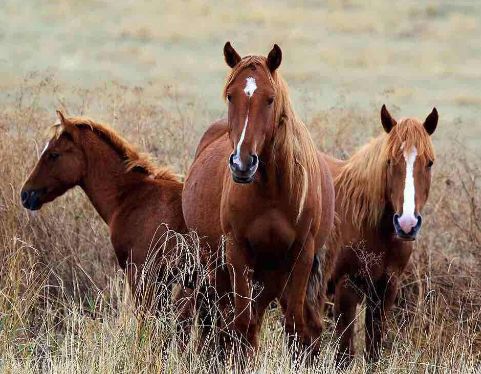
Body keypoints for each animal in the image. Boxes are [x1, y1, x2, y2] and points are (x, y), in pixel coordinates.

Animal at [182, 42, 336, 358]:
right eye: (231, 95)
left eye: (270, 99)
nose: (242, 164)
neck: (272, 191)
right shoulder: (238, 252)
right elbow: (241, 325)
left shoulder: (300, 255)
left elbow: (294, 327)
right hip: (215, 264)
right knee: (222, 320)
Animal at [322, 105, 438, 368]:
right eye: (389, 161)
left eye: (429, 163)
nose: (407, 224)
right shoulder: (346, 287)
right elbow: (344, 355)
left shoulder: (385, 289)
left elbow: (374, 352)